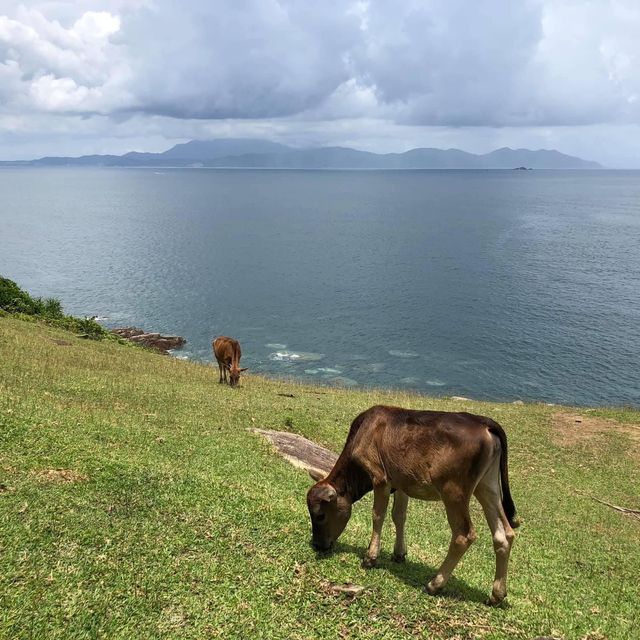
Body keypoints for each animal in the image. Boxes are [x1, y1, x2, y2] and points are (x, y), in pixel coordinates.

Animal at [308, 404, 524, 604]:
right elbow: (399, 516)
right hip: (487, 486)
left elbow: (378, 515)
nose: (317, 545)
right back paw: (497, 594)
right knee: (504, 534)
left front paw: (370, 558)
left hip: (454, 491)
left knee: (463, 535)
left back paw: (435, 584)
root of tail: (484, 422)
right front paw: (399, 554)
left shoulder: (380, 477)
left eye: (320, 515)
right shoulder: (401, 482)